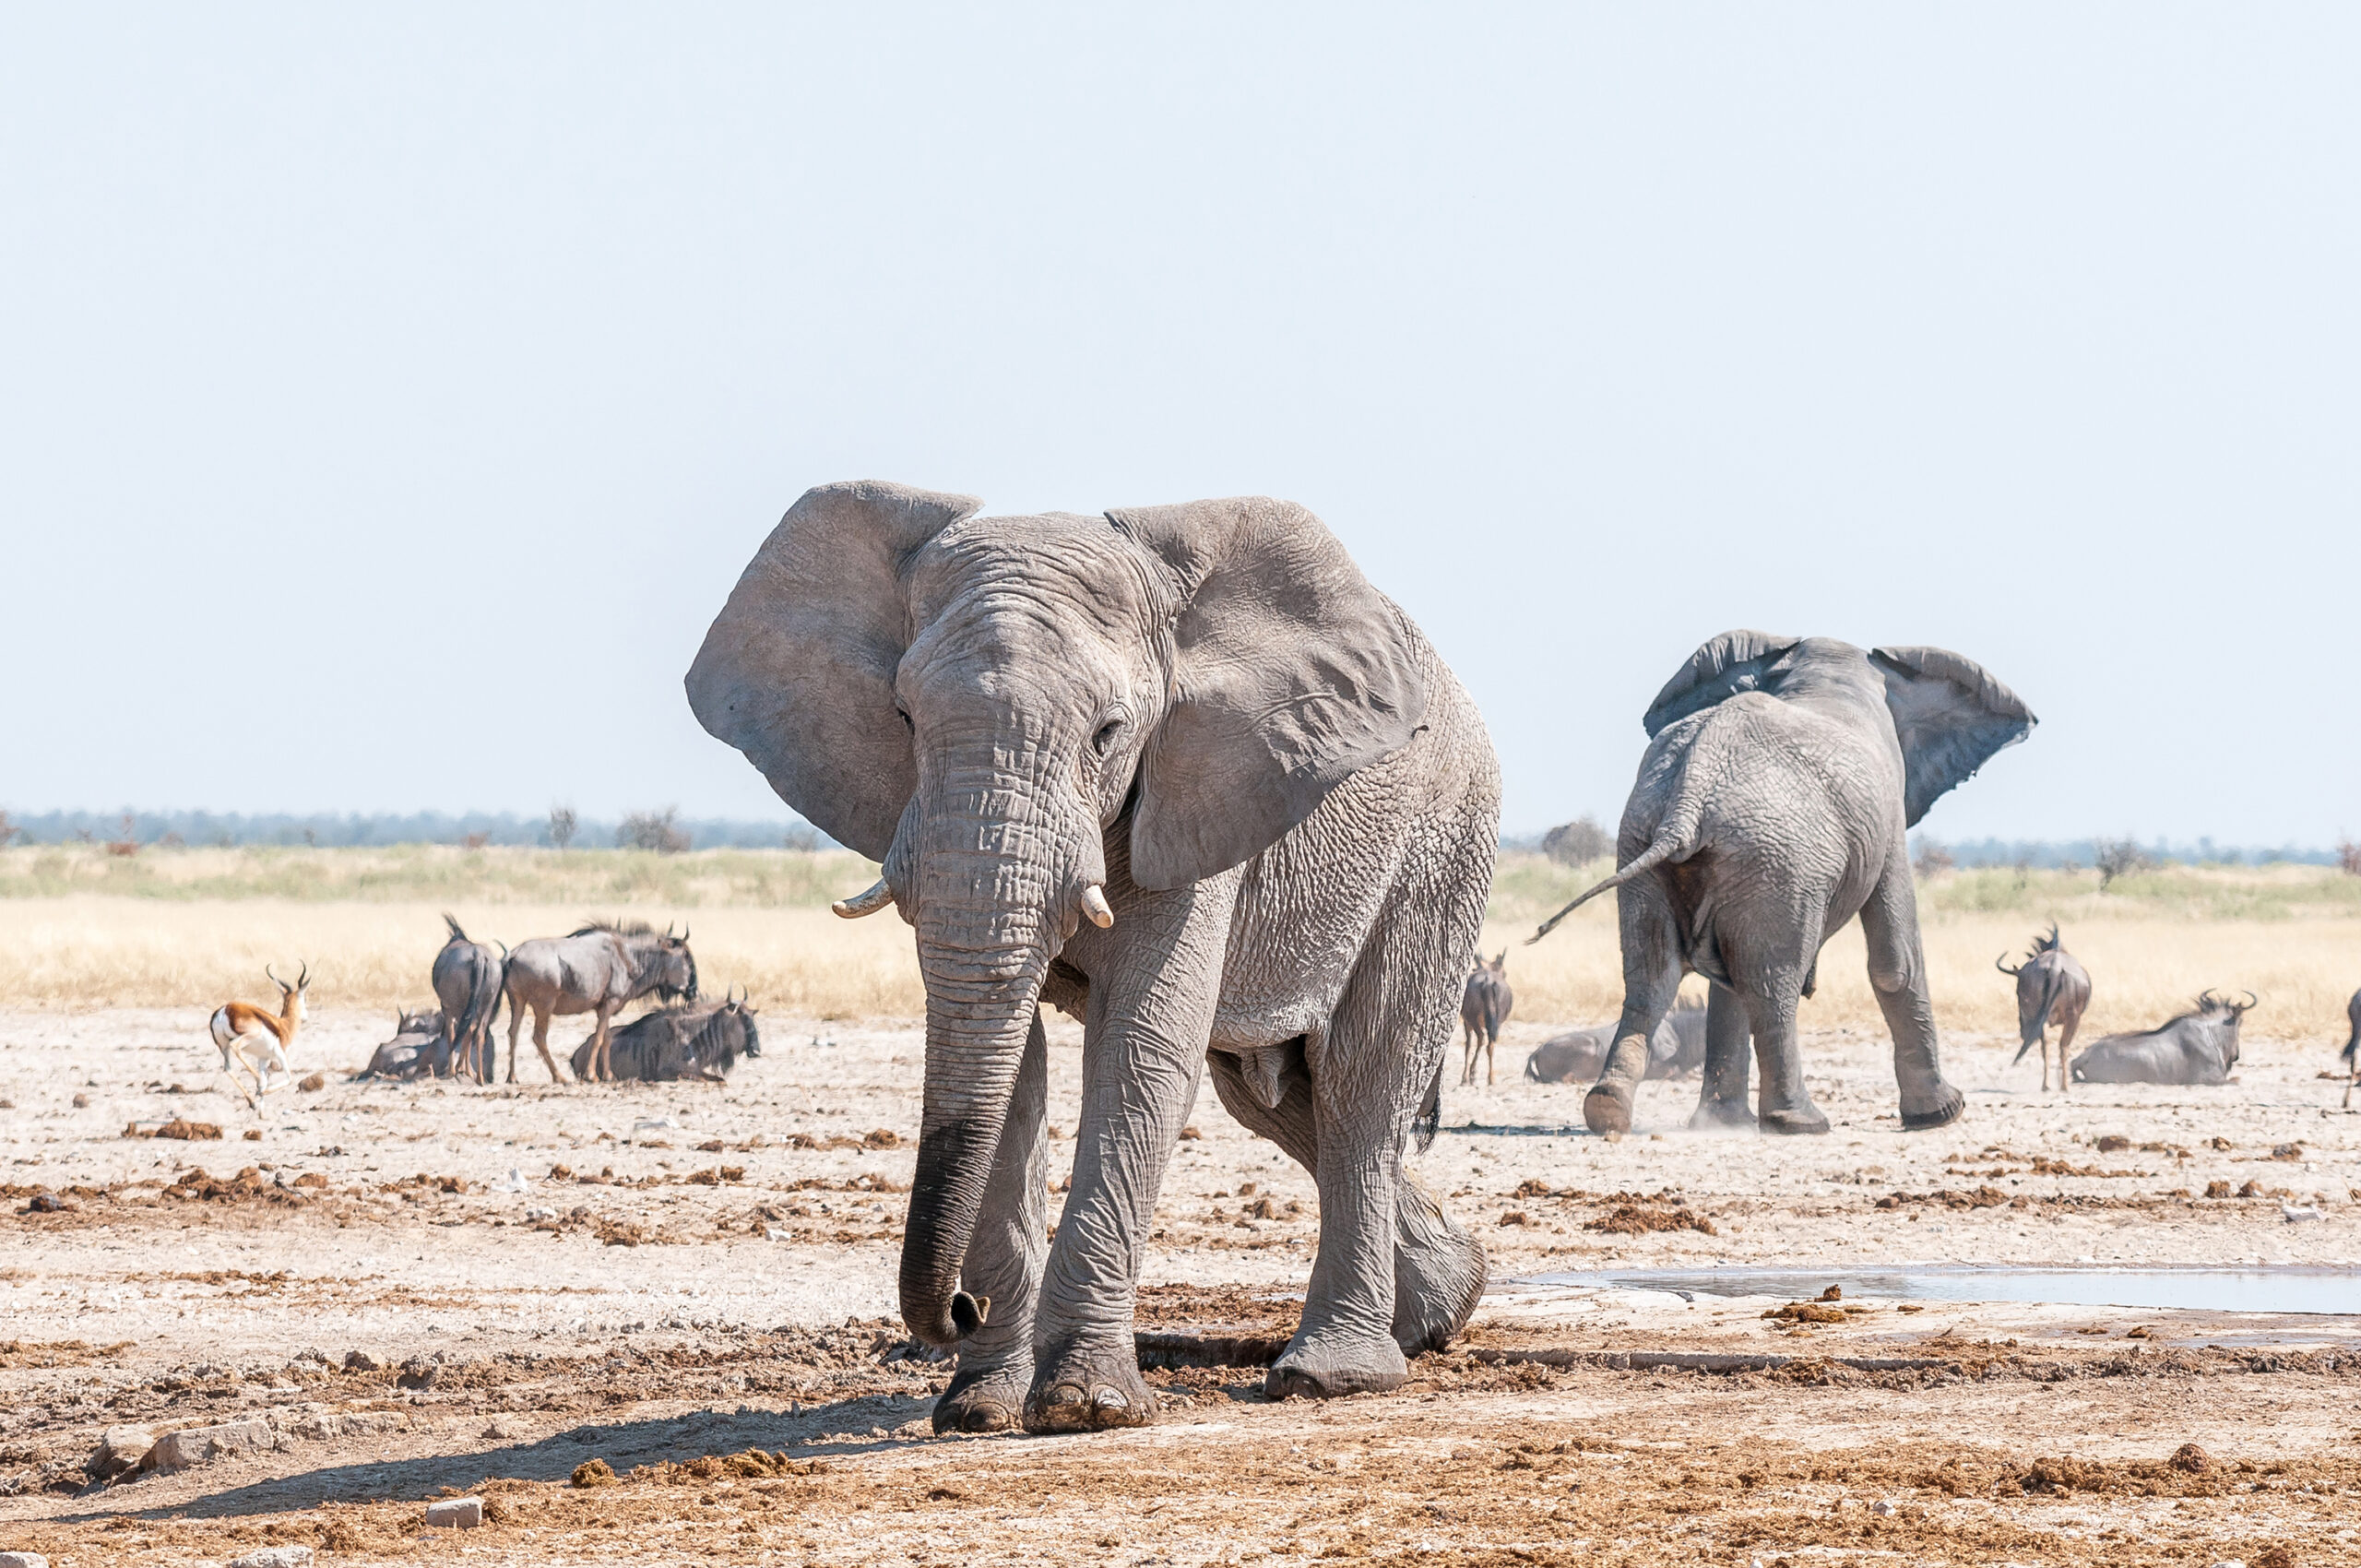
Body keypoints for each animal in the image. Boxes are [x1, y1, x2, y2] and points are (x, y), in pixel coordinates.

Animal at [689, 477, 1491, 1435]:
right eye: (904, 717)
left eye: (1110, 732)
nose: (958, 1310)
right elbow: (1009, 1066)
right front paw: (979, 1410)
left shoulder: (1194, 786)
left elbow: (1141, 1046)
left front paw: (1085, 1406)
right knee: (1276, 1098)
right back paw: (1440, 1311)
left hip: (1441, 845)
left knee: (1359, 1082)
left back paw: (1332, 1377)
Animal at [1529, 633, 2030, 1138]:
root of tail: (1692, 792)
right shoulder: (1888, 815)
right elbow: (1896, 961)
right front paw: (1941, 1114)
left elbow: (1722, 982)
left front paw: (1723, 1122)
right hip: (1778, 864)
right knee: (1773, 982)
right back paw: (1800, 1121)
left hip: (1656, 842)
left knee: (1654, 976)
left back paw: (1609, 1109)